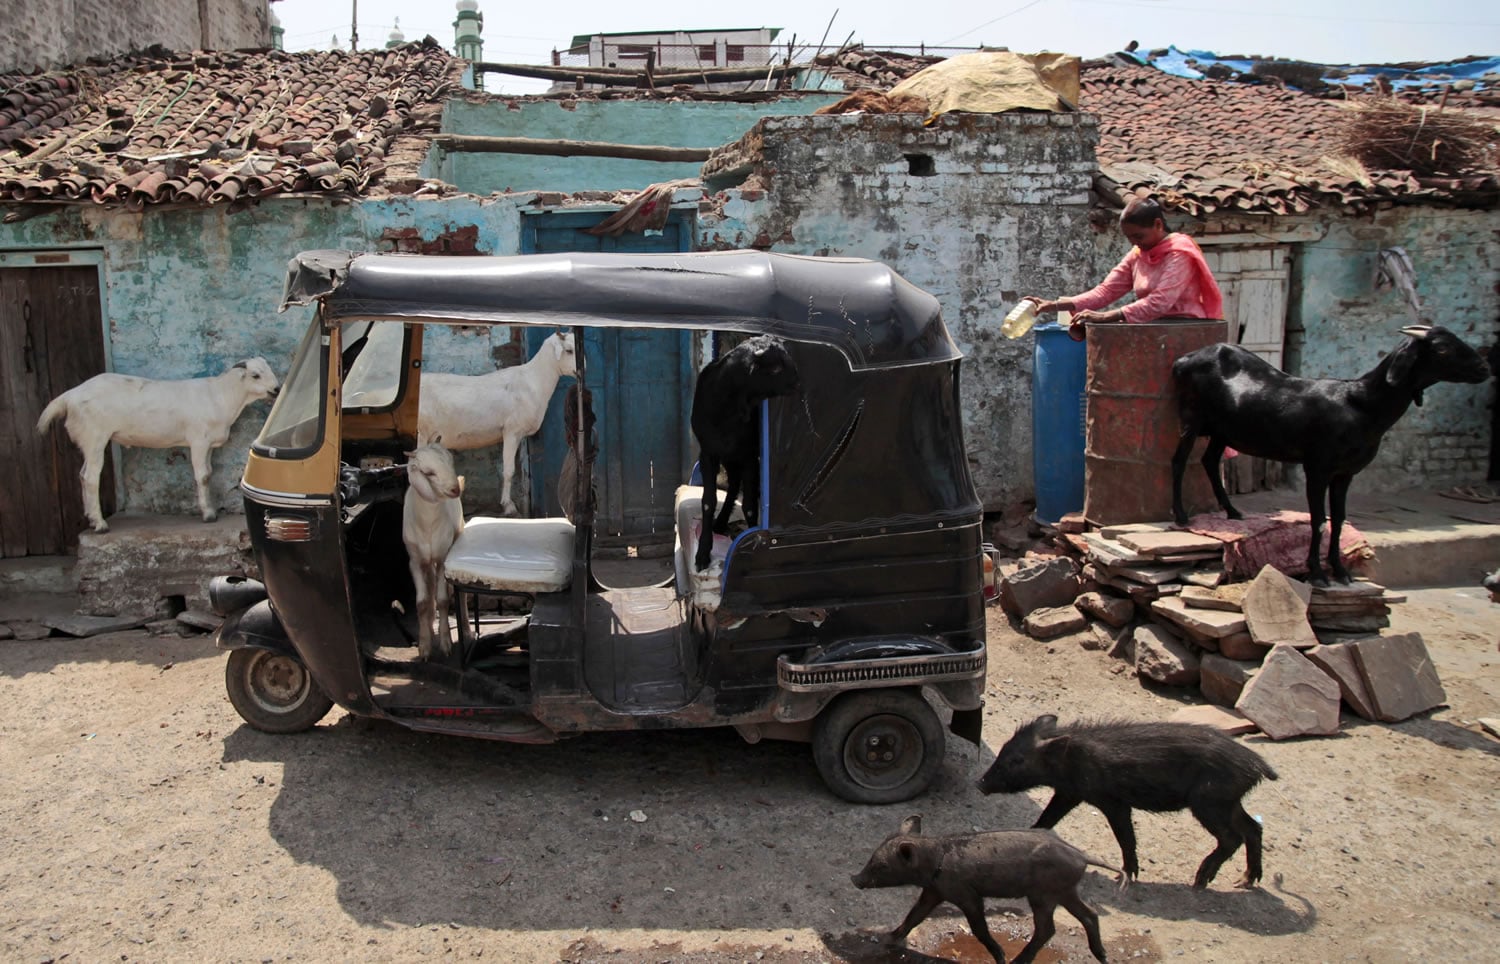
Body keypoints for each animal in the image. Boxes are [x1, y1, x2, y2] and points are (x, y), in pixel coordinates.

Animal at [35, 356, 280, 530]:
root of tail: (69, 396)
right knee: (90, 477)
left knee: (82, 474)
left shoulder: (209, 444)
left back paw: (92, 518)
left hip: (88, 439)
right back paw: (101, 524)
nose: (277, 389)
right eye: (255, 375)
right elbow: (202, 476)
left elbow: (209, 474)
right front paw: (208, 514)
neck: (221, 395)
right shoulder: (198, 440)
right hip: (95, 436)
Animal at [402, 437, 465, 662]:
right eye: (428, 472)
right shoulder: (414, 561)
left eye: (450, 461)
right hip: (425, 561)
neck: (428, 523)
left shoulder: (442, 558)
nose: (455, 489)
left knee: (459, 596)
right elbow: (421, 602)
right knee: (428, 592)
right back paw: (429, 625)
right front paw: (424, 646)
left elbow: (444, 600)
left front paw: (446, 643)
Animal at [420, 331, 576, 515]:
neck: (533, 380)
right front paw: (509, 506)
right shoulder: (512, 430)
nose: (582, 372)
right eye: (568, 350)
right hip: (421, 432)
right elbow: (508, 470)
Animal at [693, 334, 804, 569]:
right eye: (775, 368)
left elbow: (751, 505)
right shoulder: (708, 453)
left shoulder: (749, 455)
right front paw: (703, 553)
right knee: (734, 483)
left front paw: (755, 544)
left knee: (737, 484)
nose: (798, 382)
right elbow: (708, 502)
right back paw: (720, 522)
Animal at [1170, 323, 1488, 584]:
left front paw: (1340, 570)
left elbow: (1338, 518)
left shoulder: (1345, 473)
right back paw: (1182, 515)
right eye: (1443, 348)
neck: (1361, 404)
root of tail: (1183, 359)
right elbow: (1319, 520)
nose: (1484, 368)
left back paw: (1233, 511)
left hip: (1223, 430)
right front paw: (1317, 572)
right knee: (1179, 460)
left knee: (1210, 461)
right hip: (1192, 418)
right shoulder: (1317, 466)